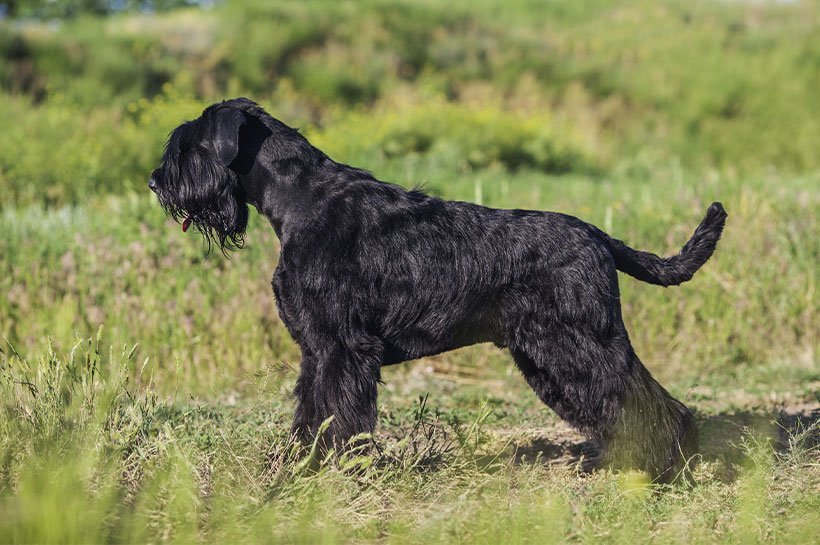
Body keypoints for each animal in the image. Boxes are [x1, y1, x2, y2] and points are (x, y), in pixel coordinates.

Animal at [151, 98, 728, 480]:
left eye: (188, 145)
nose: (156, 182)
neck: (301, 201)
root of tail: (599, 237)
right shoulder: (318, 349)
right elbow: (312, 412)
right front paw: (301, 464)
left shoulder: (342, 347)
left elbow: (338, 413)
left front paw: (332, 471)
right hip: (548, 354)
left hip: (577, 343)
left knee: (642, 400)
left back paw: (657, 466)